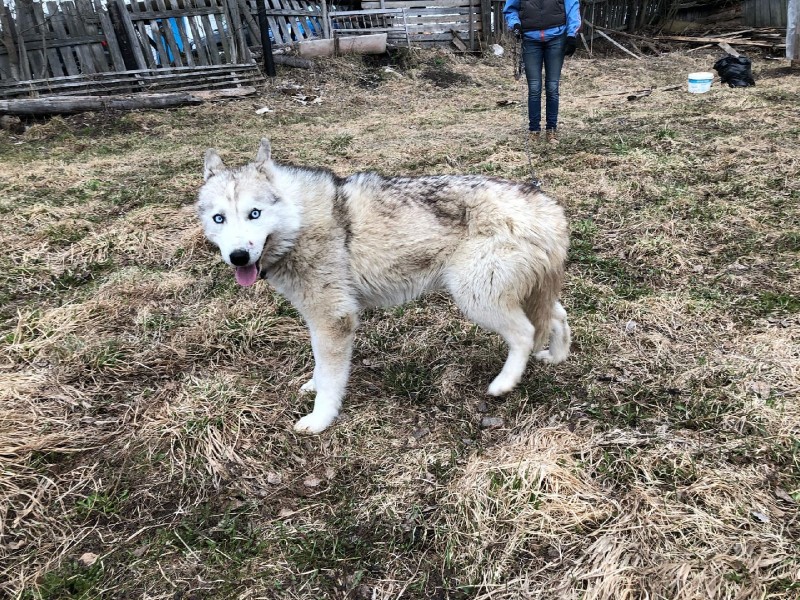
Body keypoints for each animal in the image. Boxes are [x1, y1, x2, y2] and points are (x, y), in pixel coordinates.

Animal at [200, 139, 576, 434]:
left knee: (525, 333)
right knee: (558, 316)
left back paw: (504, 383)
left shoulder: (334, 320)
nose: (237, 256)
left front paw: (320, 420)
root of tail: (547, 206)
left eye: (255, 213)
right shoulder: (317, 320)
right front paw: (313, 385)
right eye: (219, 218)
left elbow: (331, 380)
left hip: (477, 299)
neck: (300, 220)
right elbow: (320, 367)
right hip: (519, 294)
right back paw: (555, 357)